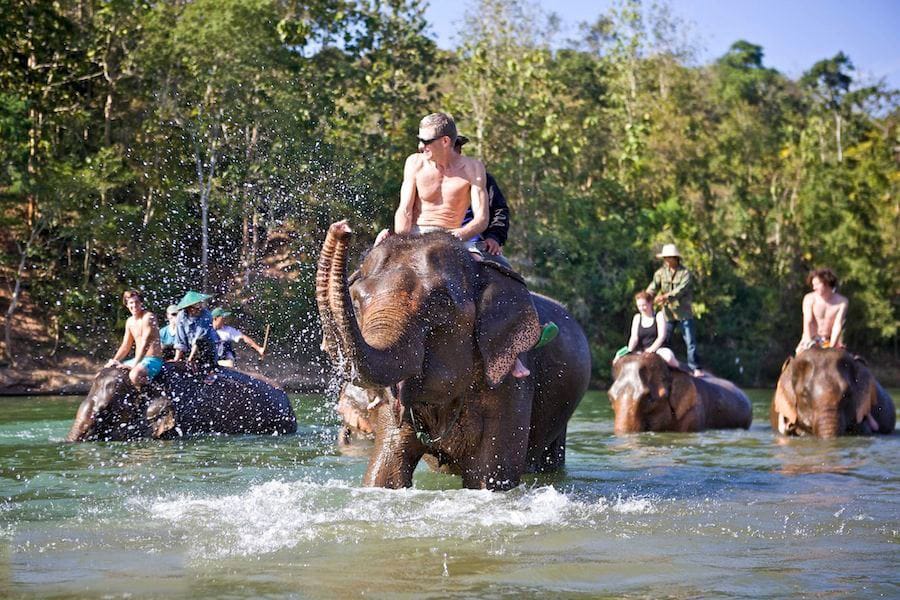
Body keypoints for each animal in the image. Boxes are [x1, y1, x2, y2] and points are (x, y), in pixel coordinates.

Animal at [316, 221, 592, 492]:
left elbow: (489, 477)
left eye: (439, 305)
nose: (342, 228)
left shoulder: (511, 380)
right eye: (356, 302)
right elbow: (386, 471)